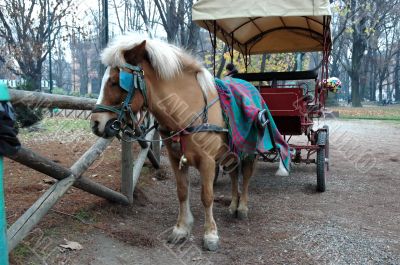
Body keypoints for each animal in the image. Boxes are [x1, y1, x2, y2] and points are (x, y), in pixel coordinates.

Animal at [89, 33, 286, 250]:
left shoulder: (207, 161)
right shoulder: (176, 159)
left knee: (247, 175)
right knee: (234, 173)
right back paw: (233, 205)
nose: (96, 123)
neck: (187, 109)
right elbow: (182, 192)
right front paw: (181, 229)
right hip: (229, 151)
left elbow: (207, 196)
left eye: (116, 82)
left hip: (248, 151)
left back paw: (242, 207)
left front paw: (210, 234)